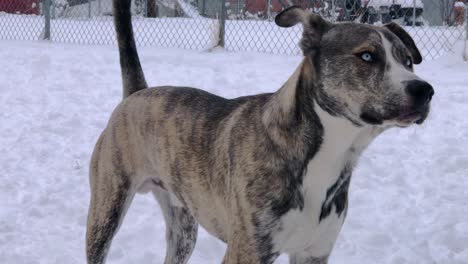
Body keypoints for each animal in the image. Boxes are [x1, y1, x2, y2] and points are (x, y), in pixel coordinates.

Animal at [87, 2, 436, 264]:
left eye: (408, 61)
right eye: (366, 56)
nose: (425, 90)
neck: (325, 157)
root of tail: (136, 94)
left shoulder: (314, 252)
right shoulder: (248, 251)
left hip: (183, 225)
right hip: (105, 211)